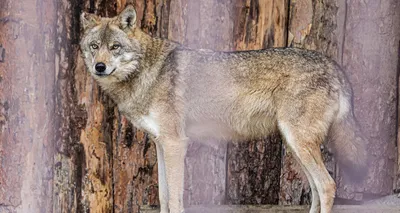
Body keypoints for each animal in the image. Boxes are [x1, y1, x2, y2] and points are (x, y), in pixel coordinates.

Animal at [79, 5, 368, 213]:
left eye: (115, 47)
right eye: (94, 47)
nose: (100, 67)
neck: (147, 72)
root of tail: (333, 65)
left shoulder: (175, 143)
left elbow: (175, 200)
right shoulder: (161, 143)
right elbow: (163, 197)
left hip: (299, 143)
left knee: (328, 186)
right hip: (296, 145)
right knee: (317, 190)